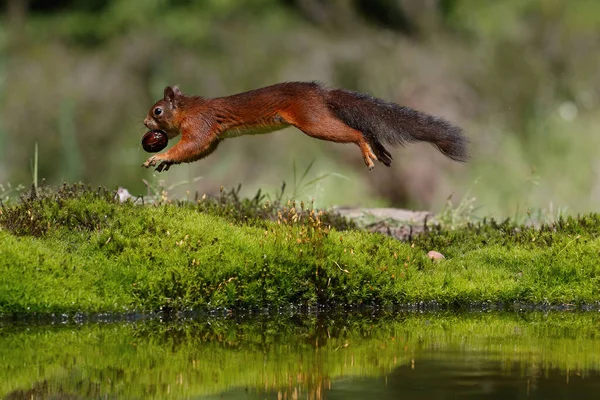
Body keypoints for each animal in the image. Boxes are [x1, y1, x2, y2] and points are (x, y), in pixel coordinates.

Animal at [142, 83, 468, 172]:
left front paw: (159, 156)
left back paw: (366, 150)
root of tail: (321, 93)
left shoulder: (200, 124)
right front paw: (167, 163)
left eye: (157, 110)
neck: (189, 108)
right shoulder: (214, 137)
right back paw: (380, 151)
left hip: (313, 121)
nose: (144, 123)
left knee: (357, 132)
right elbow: (199, 151)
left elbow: (192, 144)